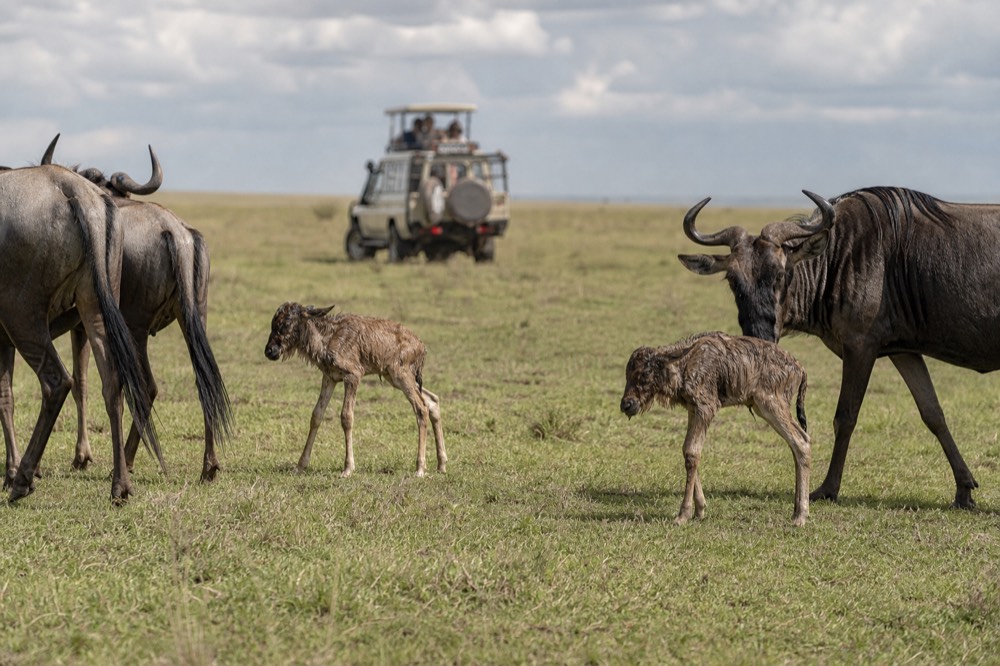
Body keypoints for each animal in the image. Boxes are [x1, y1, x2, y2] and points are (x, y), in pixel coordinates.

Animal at [678, 187, 997, 509]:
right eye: (732, 280)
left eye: (781, 274)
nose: (760, 336)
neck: (837, 257)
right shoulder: (903, 351)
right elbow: (933, 413)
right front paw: (964, 489)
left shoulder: (860, 346)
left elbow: (845, 417)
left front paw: (827, 489)